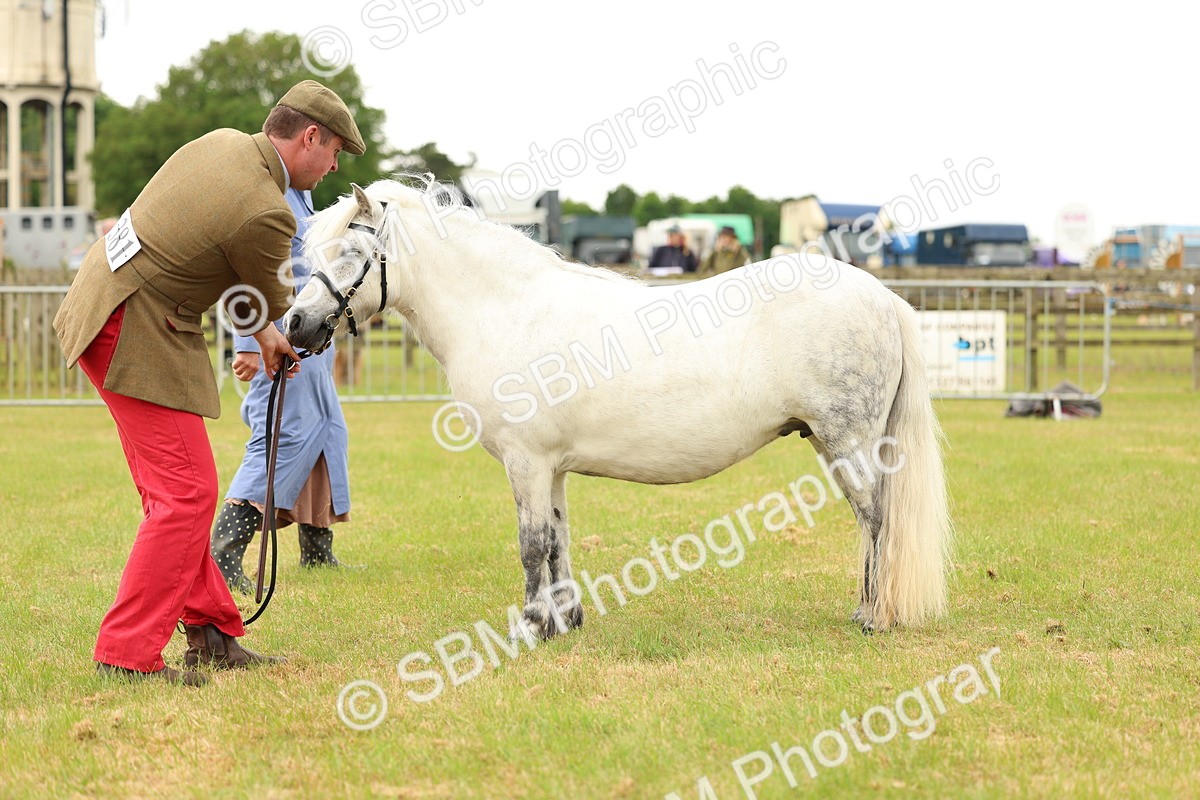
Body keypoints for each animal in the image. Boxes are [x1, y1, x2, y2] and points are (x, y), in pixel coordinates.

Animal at [282, 177, 952, 637]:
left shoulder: (526, 461)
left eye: (349, 253)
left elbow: (531, 543)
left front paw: (530, 626)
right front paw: (564, 620)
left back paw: (871, 615)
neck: (504, 309)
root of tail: (883, 297)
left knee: (876, 520)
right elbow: (558, 538)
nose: (295, 325)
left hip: (848, 442)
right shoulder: (551, 466)